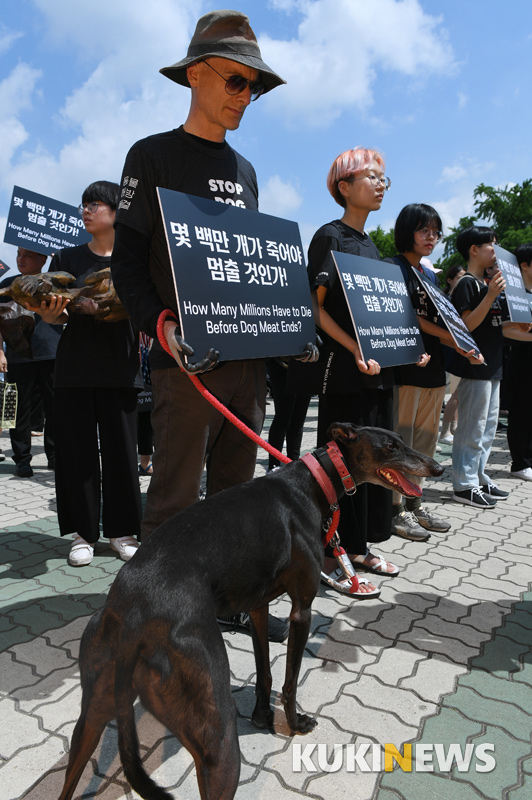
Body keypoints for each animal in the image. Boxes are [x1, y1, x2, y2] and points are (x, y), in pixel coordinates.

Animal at [58, 422, 442, 796]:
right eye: (390, 447)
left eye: (401, 440)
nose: (436, 468)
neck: (312, 481)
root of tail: (133, 621)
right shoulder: (302, 610)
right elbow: (289, 680)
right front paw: (295, 721)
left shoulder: (258, 608)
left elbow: (265, 671)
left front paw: (261, 714)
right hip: (218, 741)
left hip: (91, 716)